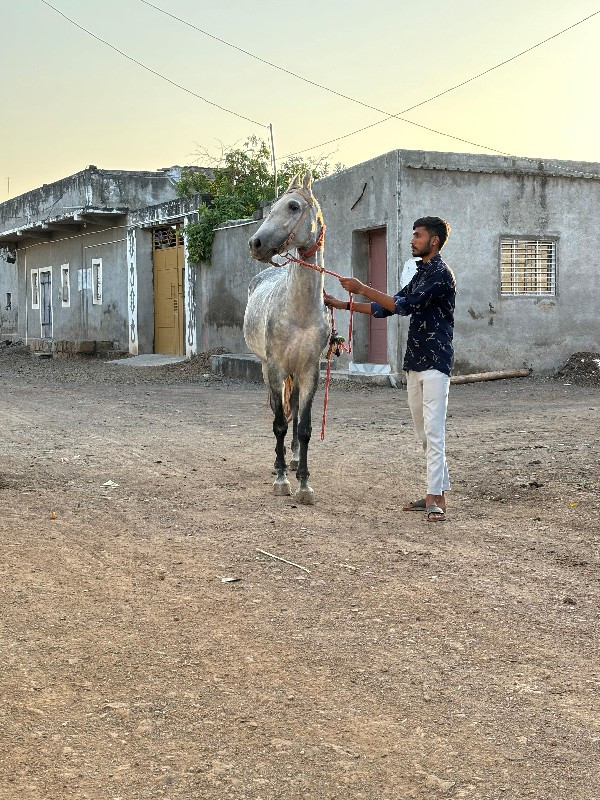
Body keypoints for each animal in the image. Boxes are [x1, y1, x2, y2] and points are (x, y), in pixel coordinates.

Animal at [243, 170, 330, 506]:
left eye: (293, 206)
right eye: (271, 208)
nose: (255, 243)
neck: (299, 311)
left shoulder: (309, 371)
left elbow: (303, 427)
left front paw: (304, 483)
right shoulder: (276, 368)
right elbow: (279, 423)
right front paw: (281, 480)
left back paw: (292, 459)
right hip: (267, 370)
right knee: (276, 409)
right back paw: (279, 462)